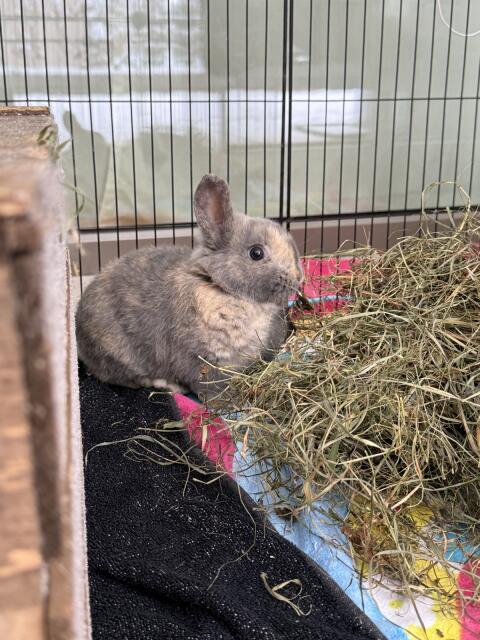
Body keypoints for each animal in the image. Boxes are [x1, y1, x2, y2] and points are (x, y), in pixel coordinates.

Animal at [75, 174, 303, 401]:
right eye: (256, 253)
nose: (298, 279)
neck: (222, 288)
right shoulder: (200, 362)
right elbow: (210, 388)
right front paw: (227, 404)